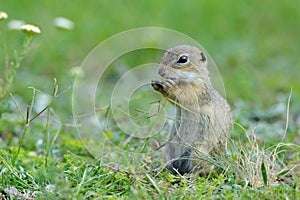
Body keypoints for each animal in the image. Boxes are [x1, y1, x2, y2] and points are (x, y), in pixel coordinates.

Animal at [151, 44, 233, 174]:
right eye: (166, 53)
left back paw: (191, 176)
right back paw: (160, 168)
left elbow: (184, 96)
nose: (160, 71)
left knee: (205, 170)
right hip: (169, 148)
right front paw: (156, 85)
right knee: (171, 164)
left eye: (183, 59)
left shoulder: (197, 90)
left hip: (197, 152)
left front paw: (169, 86)